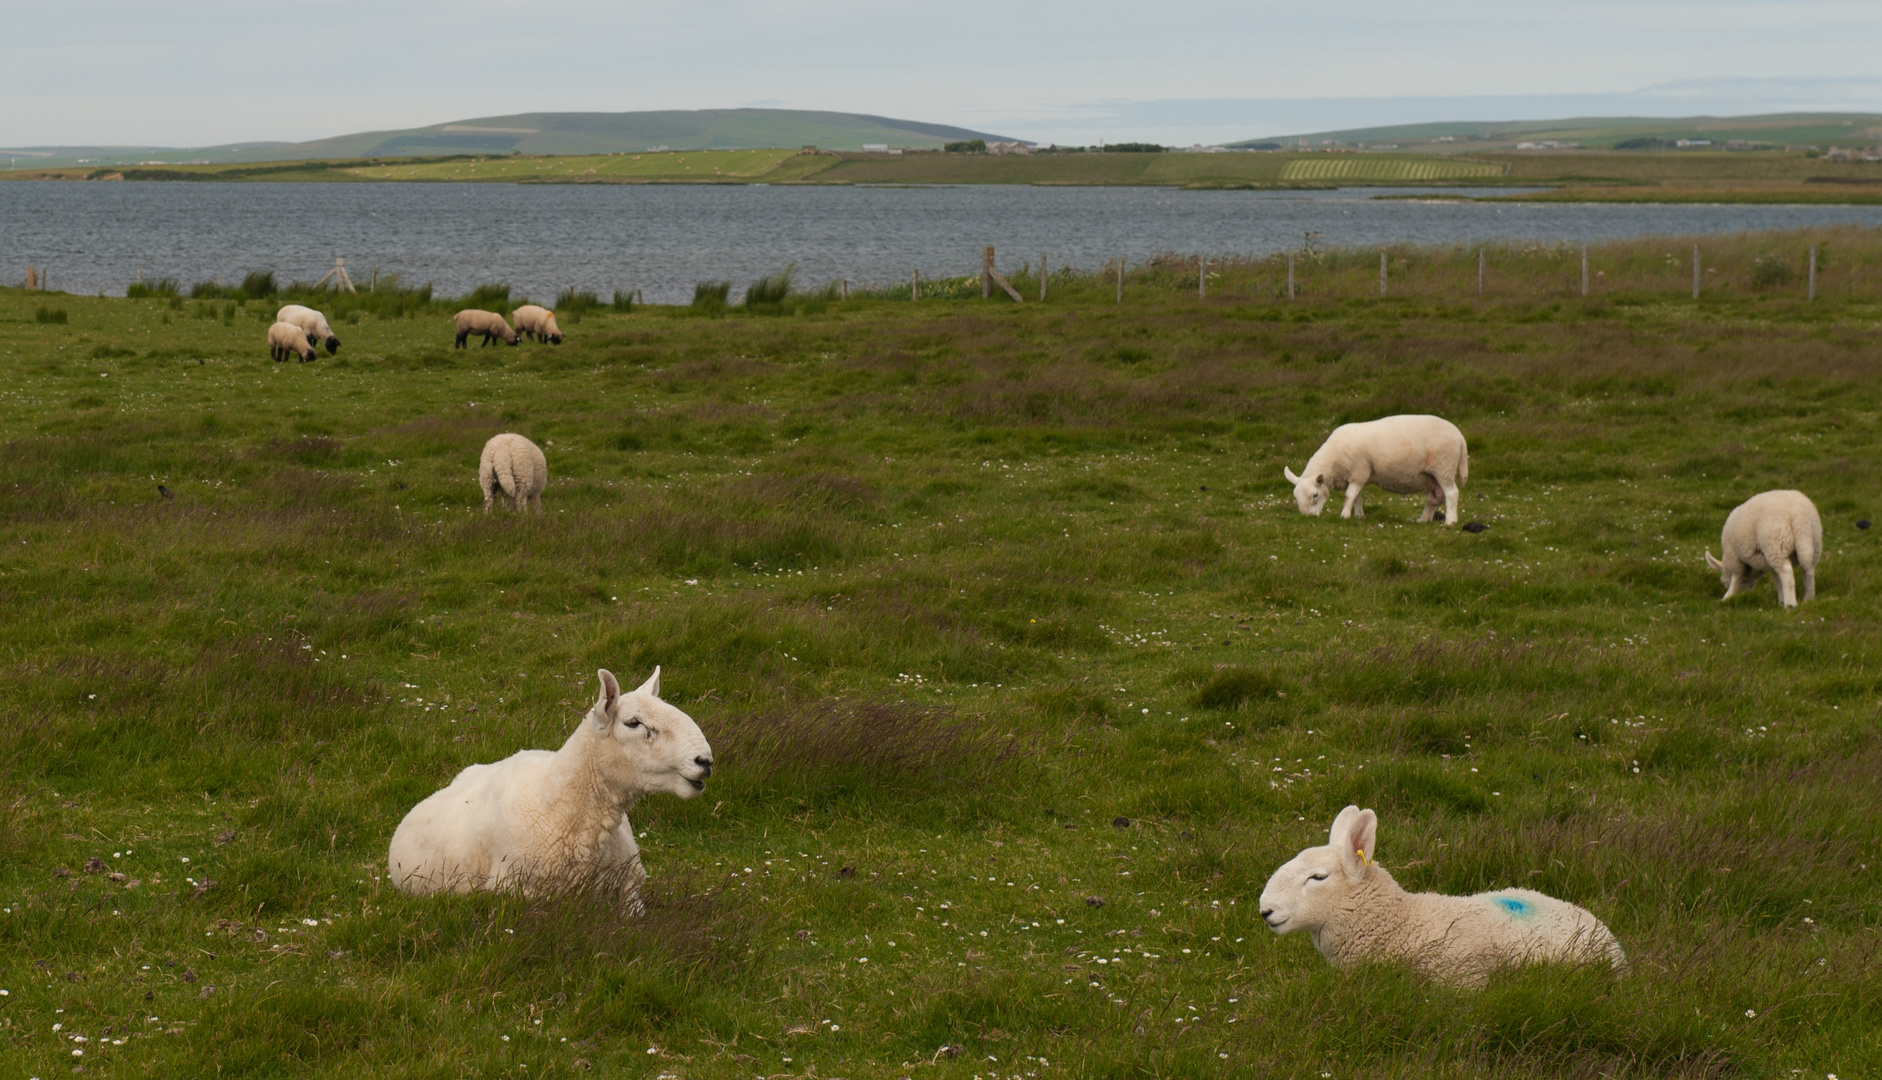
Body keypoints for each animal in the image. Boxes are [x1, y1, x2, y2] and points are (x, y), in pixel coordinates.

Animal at [1279, 417, 1467, 526]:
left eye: (1315, 495)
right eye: (1295, 498)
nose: (1307, 517)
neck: (1334, 458)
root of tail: (1459, 436)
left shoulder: (1359, 471)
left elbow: (1349, 496)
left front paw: (1344, 515)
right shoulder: (1358, 475)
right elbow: (1357, 497)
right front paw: (1358, 515)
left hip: (1444, 467)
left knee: (1452, 493)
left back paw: (1450, 521)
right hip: (1432, 476)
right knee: (1435, 497)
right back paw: (1423, 520)